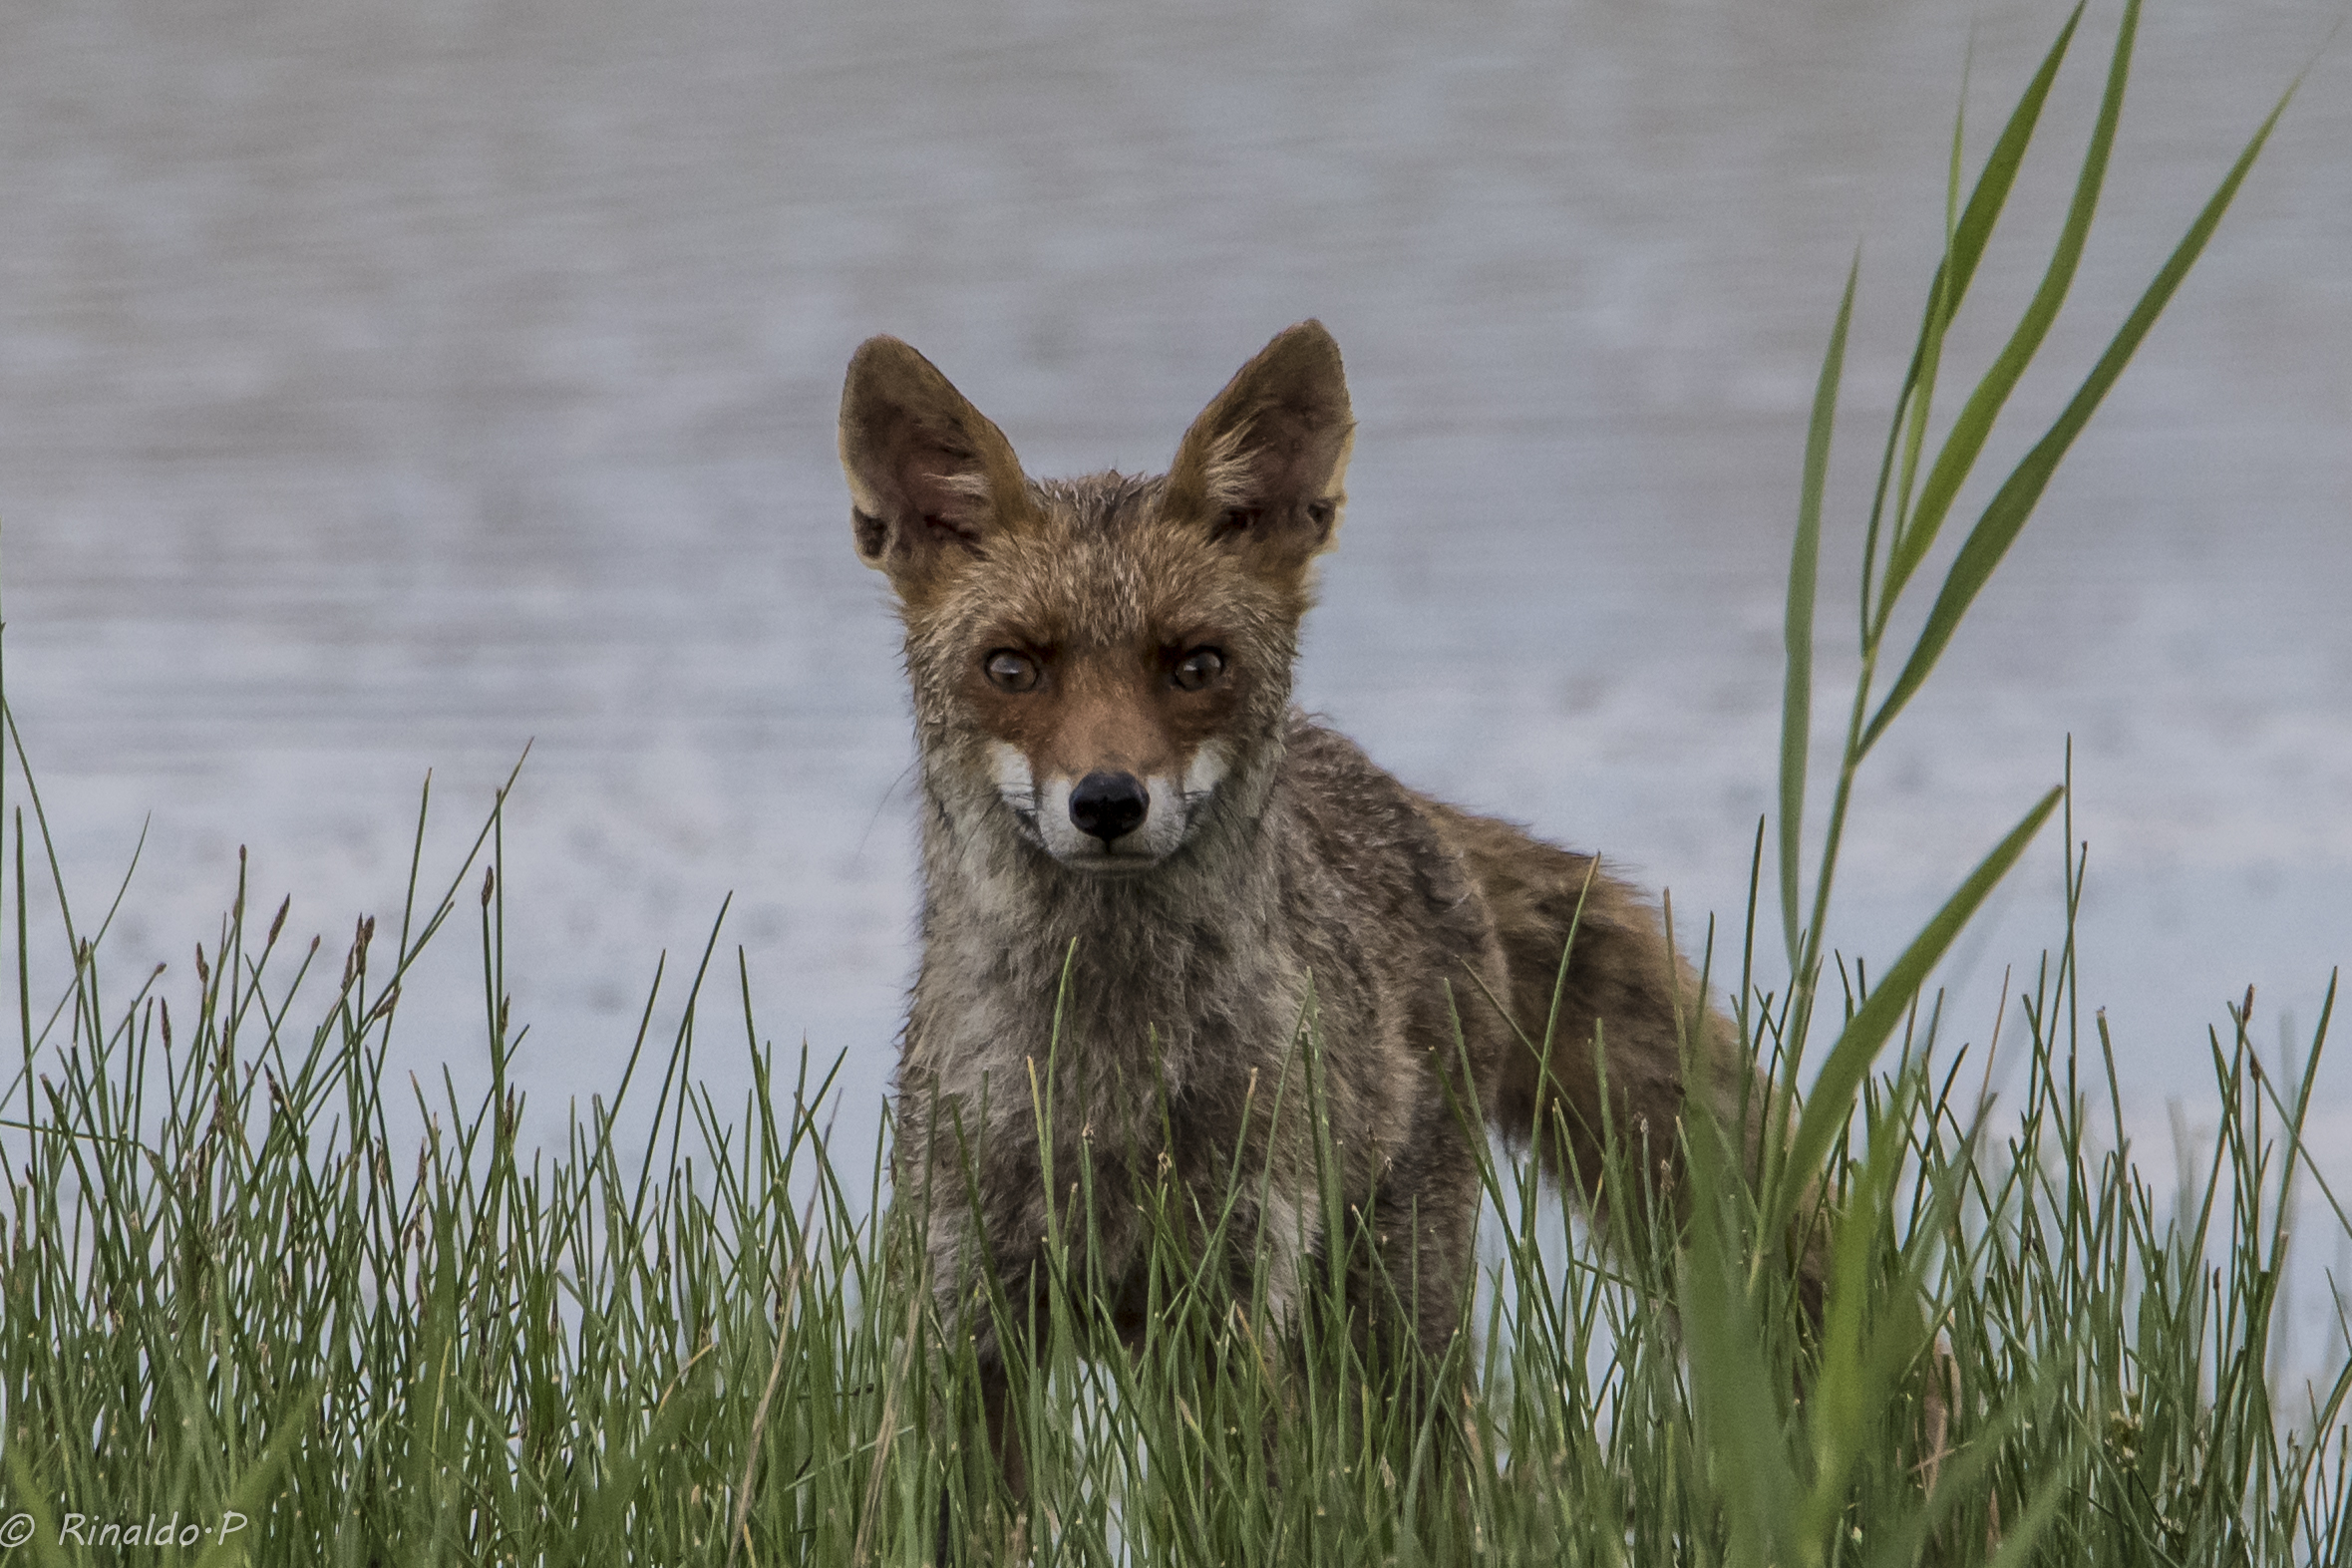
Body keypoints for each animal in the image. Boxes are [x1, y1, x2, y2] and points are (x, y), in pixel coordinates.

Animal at [838, 319, 1797, 1522]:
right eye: (1010, 666)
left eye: (1196, 663)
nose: (1106, 801)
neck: (1104, 1086)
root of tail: (1379, 779)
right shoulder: (965, 1316)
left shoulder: (1230, 1304)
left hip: (1384, 1312)